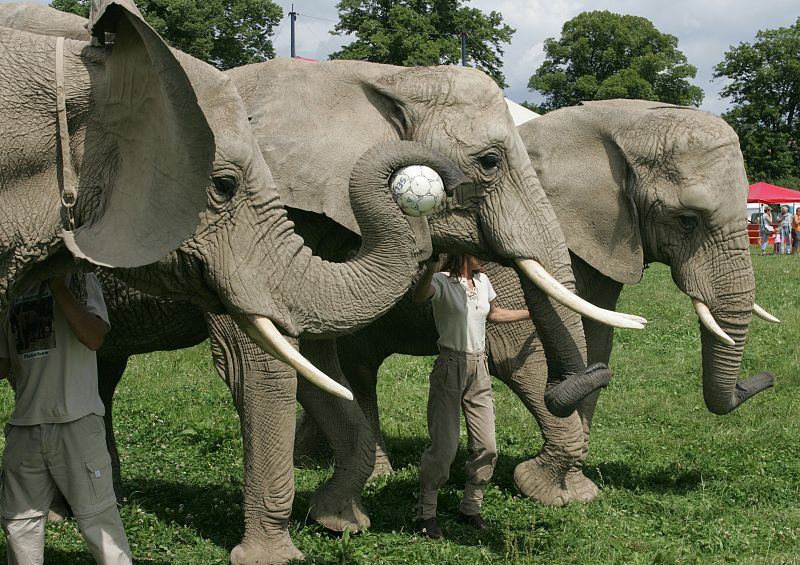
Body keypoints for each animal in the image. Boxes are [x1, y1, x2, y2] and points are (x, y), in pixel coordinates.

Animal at [0, 3, 476, 560]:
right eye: (223, 186)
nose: (436, 182)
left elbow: (309, 358)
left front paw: (341, 525)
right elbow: (259, 364)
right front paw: (275, 557)